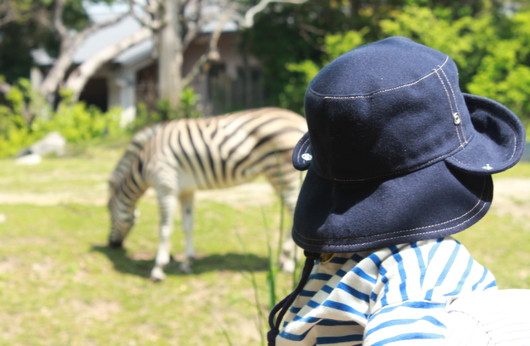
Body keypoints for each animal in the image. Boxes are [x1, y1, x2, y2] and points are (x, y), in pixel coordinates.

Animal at [106, 108, 306, 282]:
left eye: (109, 214)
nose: (112, 244)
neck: (144, 162)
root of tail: (300, 120)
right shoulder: (186, 191)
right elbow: (187, 226)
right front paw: (187, 262)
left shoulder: (165, 188)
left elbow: (164, 229)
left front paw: (158, 269)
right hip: (279, 177)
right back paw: (287, 259)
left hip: (284, 174)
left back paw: (290, 262)